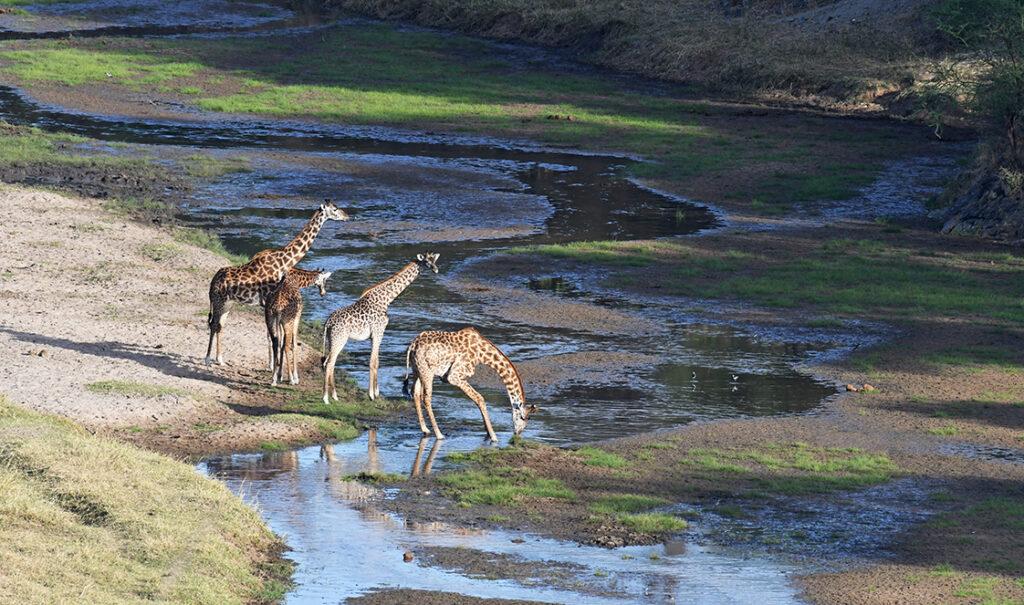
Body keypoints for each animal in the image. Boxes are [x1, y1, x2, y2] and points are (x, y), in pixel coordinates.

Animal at [203, 202, 348, 364]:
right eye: (335, 209)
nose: (347, 216)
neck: (282, 262)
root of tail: (212, 281)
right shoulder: (269, 301)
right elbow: (273, 335)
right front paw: (273, 364)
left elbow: (272, 335)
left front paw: (272, 363)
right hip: (219, 301)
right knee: (213, 324)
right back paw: (207, 358)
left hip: (228, 303)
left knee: (220, 325)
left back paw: (220, 359)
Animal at [321, 252, 438, 405]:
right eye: (427, 262)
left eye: (434, 260)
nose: (436, 269)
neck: (386, 299)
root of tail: (328, 322)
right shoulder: (378, 332)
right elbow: (373, 362)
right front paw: (372, 394)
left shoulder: (375, 335)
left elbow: (377, 361)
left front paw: (376, 392)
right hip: (339, 339)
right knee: (329, 363)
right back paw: (326, 398)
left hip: (332, 339)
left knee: (329, 363)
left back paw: (334, 396)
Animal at [403, 327, 540, 440]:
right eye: (524, 417)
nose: (518, 433)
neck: (482, 354)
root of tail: (412, 346)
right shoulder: (454, 376)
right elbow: (480, 398)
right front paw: (493, 436)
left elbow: (478, 399)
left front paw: (487, 432)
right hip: (427, 371)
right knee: (426, 398)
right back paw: (439, 434)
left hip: (417, 370)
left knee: (415, 393)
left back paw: (425, 430)